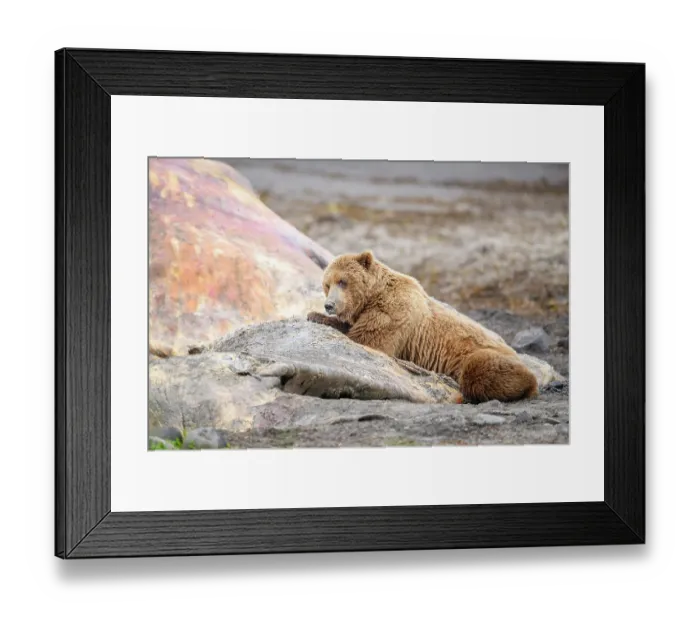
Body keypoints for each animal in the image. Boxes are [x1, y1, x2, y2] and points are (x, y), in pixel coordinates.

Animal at [307, 250, 539, 403]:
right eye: (327, 284)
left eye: (343, 281)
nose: (329, 305)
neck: (373, 296)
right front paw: (315, 315)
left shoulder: (393, 312)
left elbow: (369, 340)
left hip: (481, 355)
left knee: (479, 369)